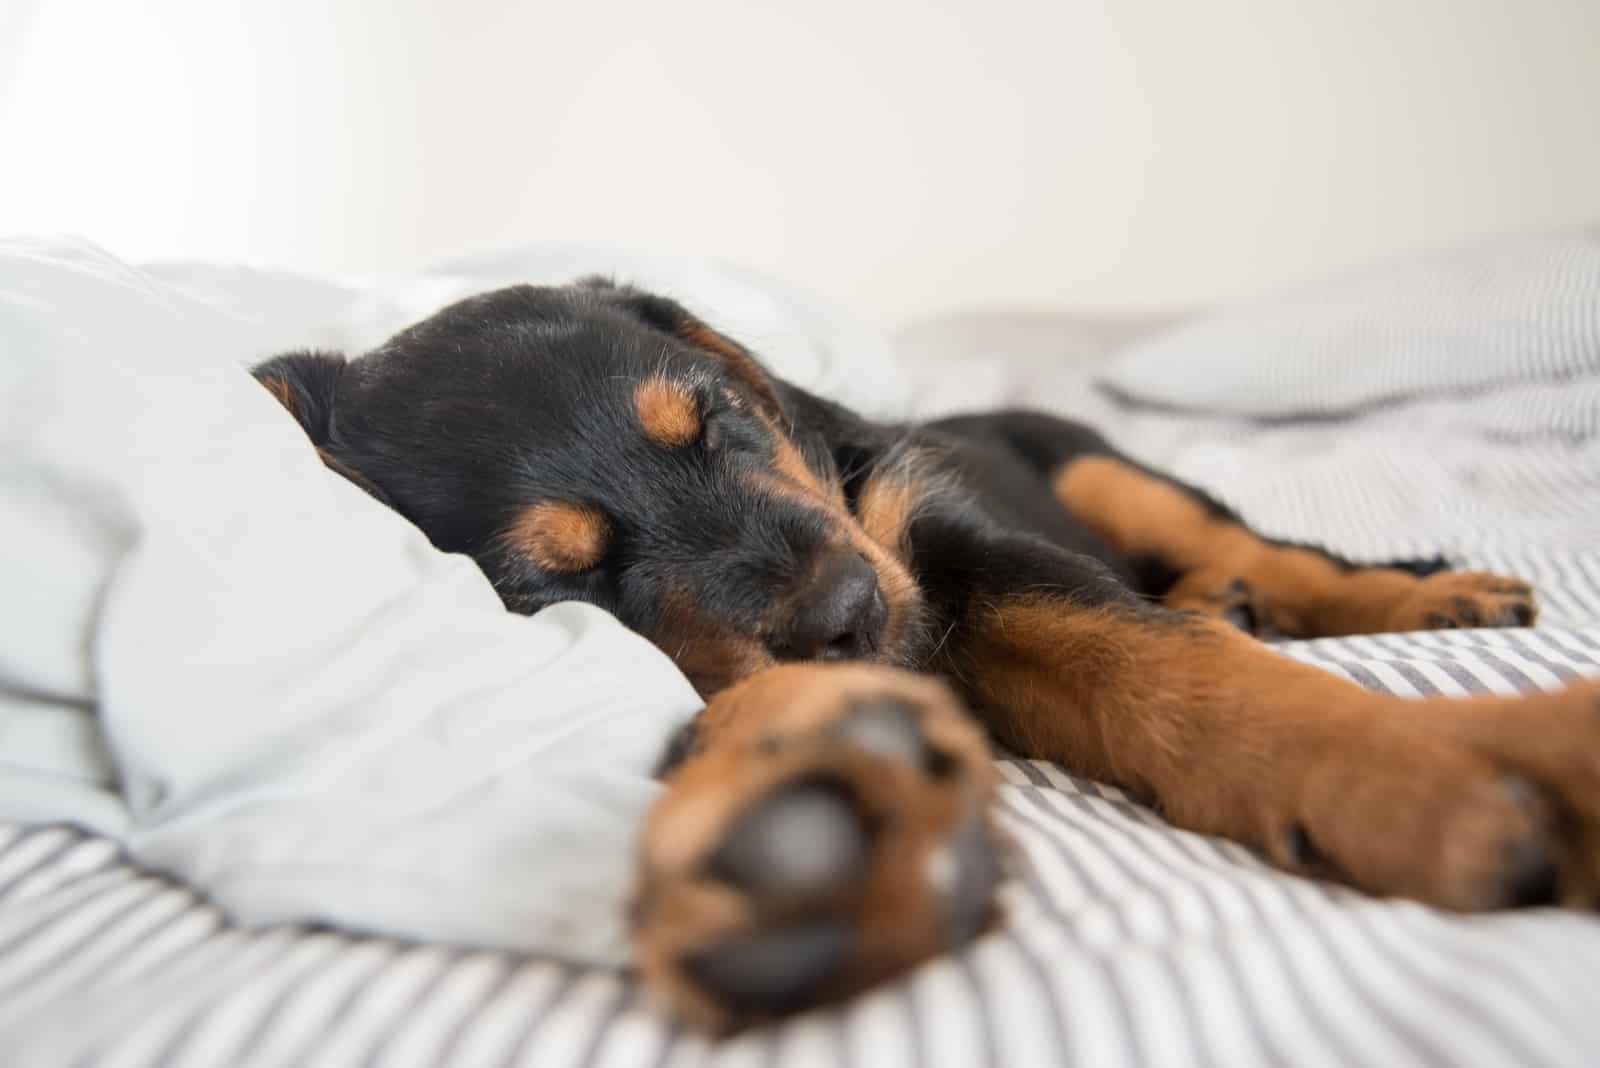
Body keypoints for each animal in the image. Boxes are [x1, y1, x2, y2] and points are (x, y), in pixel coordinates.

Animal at [256, 282, 1593, 1036]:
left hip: (1104, 470)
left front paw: (1415, 768)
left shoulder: (943, 550)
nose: (849, 613)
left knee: (1267, 547)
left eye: (718, 419)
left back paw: (1420, 593)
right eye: (552, 582)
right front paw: (815, 823)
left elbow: (1165, 662)